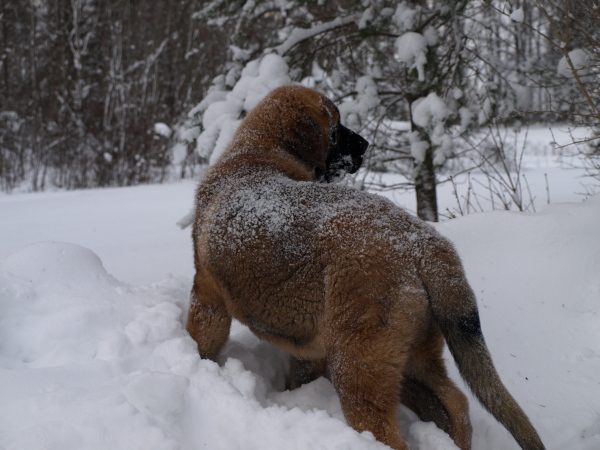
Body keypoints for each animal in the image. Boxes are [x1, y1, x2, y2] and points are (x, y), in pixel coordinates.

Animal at [186, 85, 544, 450]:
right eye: (335, 126)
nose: (365, 144)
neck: (256, 156)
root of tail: (424, 243)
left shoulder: (208, 297)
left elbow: (202, 341)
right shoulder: (305, 345)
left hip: (358, 362)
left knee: (387, 429)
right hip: (414, 352)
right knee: (454, 402)